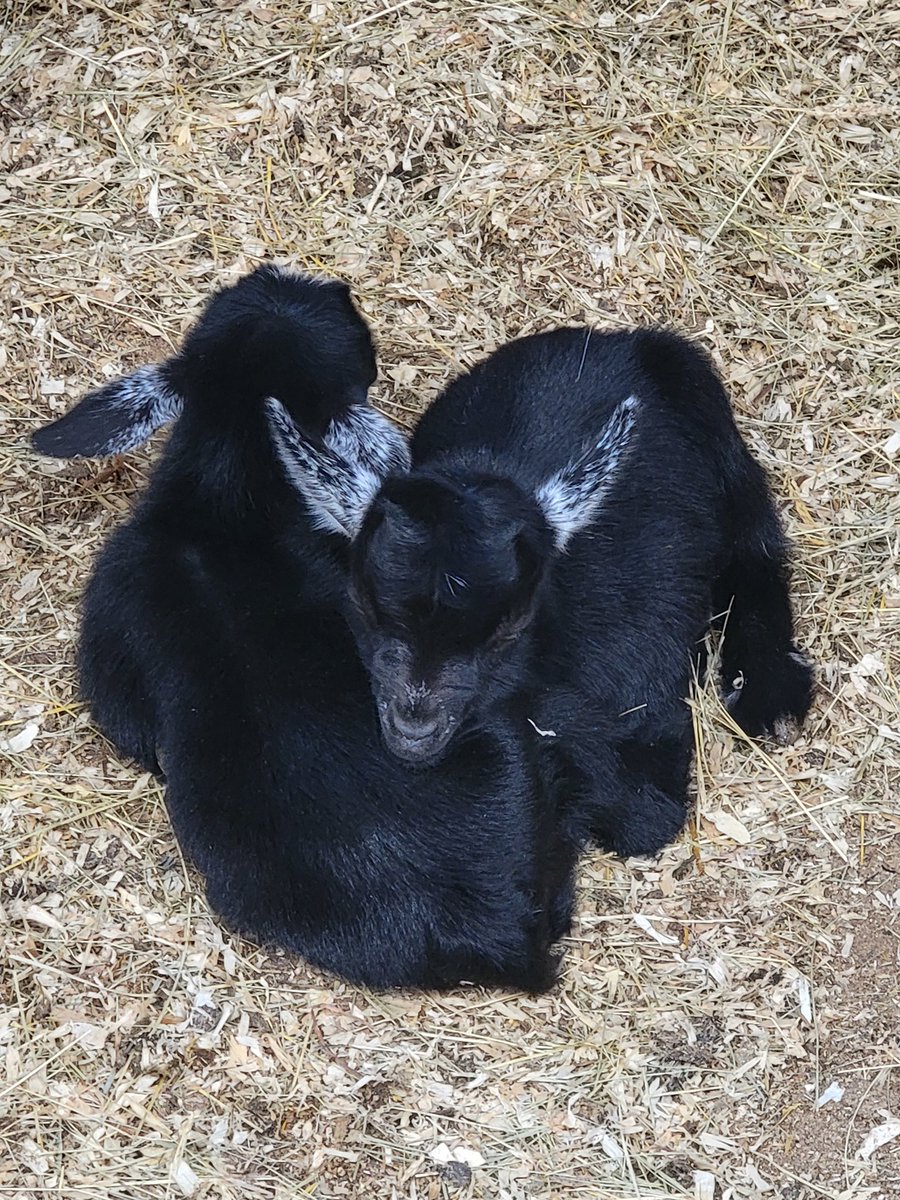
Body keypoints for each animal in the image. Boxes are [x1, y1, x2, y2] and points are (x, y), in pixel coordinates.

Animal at [277, 325, 815, 858]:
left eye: (510, 627)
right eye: (362, 602)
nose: (414, 727)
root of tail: (615, 339)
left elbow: (643, 816)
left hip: (716, 431)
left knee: (756, 543)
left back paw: (771, 691)